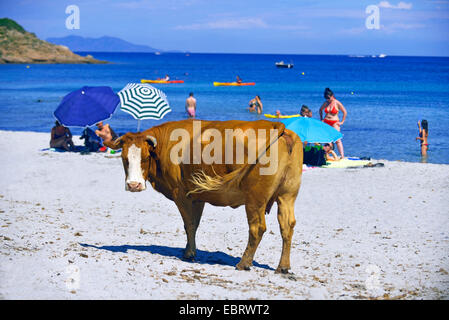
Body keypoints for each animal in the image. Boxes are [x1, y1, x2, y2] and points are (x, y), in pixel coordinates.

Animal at [104, 119, 300, 272]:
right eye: (124, 158)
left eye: (145, 158)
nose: (134, 185)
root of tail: (277, 126)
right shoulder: (198, 197)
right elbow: (195, 224)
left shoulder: (181, 196)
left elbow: (189, 224)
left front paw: (189, 253)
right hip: (287, 196)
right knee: (287, 226)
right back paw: (283, 267)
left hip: (255, 200)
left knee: (257, 228)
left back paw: (243, 263)